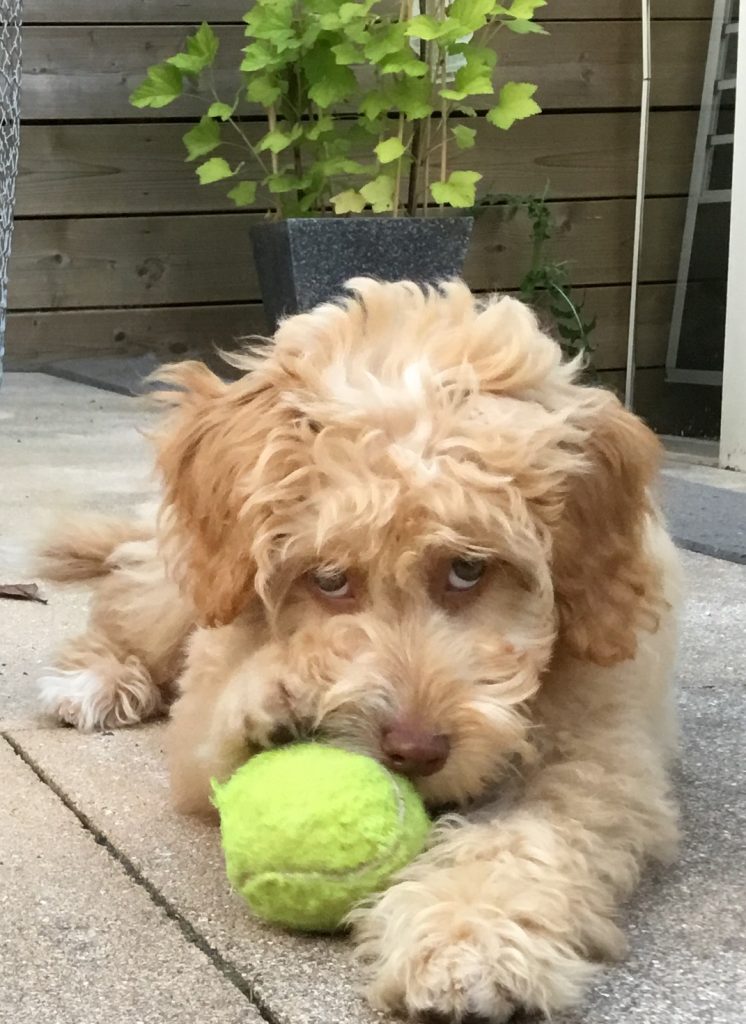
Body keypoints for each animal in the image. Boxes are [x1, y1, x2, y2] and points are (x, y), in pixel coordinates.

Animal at [39, 280, 679, 1024]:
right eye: (329, 578)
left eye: (469, 569)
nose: (415, 752)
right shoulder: (202, 703)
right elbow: (207, 730)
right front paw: (272, 696)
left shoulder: (604, 752)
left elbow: (531, 835)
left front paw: (467, 939)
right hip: (175, 586)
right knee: (122, 613)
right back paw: (96, 677)